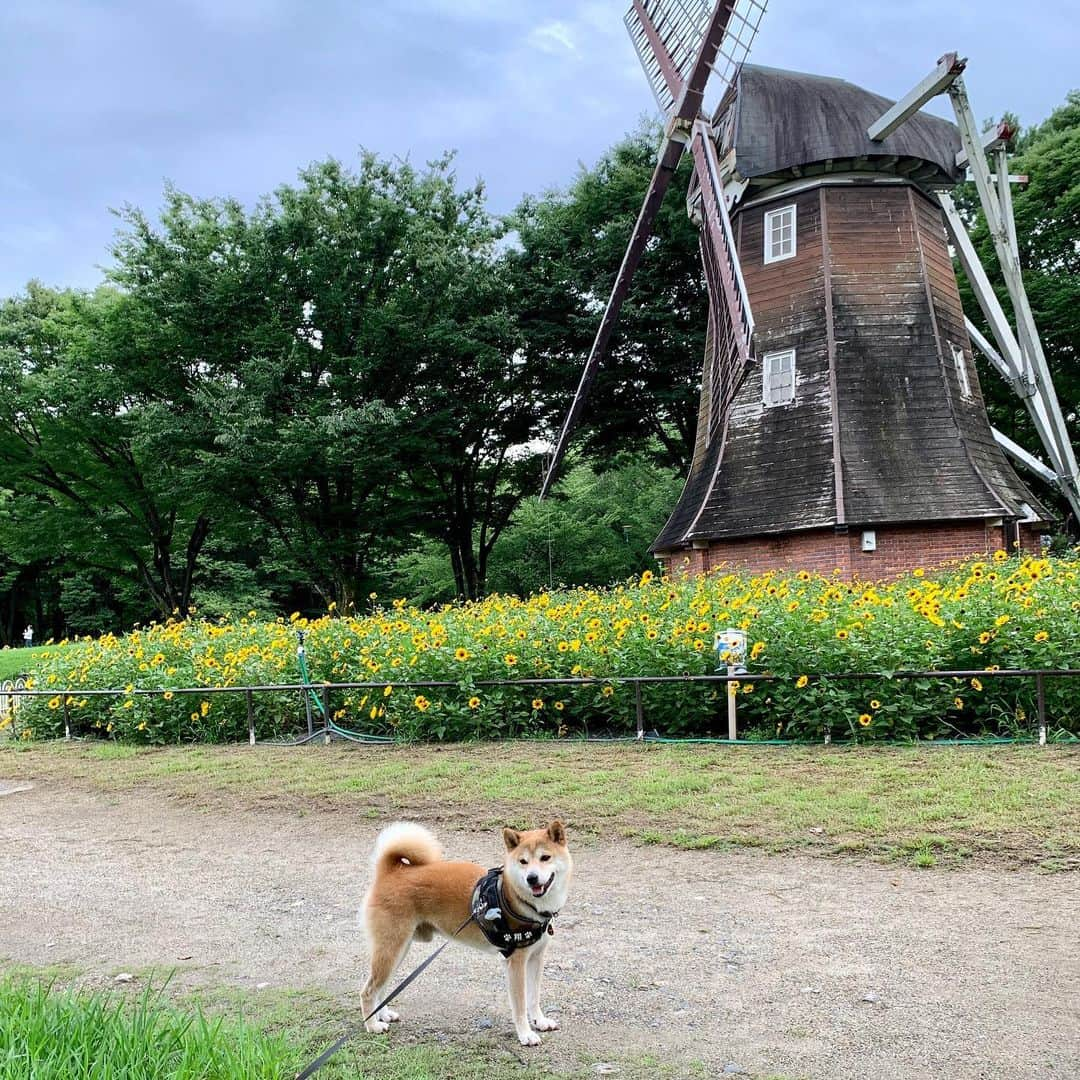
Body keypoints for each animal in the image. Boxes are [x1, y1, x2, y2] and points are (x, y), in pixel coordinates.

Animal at [362, 820, 574, 1041]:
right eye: (523, 861)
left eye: (545, 857)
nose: (532, 878)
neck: (516, 898)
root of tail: (391, 871)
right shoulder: (515, 962)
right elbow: (520, 1005)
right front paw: (525, 1034)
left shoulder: (536, 958)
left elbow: (533, 998)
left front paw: (540, 1021)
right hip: (391, 949)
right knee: (368, 991)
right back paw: (372, 1025)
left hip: (398, 950)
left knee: (382, 987)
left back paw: (383, 1015)